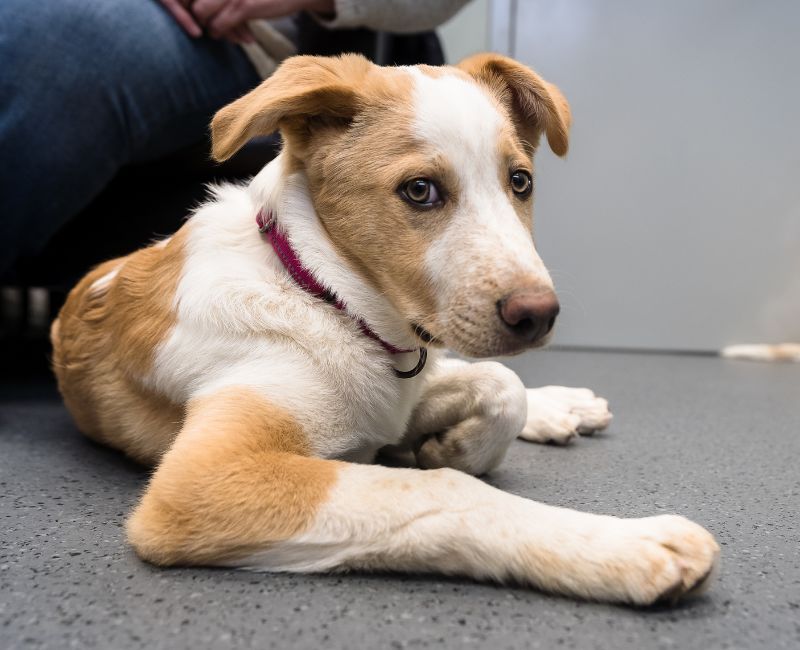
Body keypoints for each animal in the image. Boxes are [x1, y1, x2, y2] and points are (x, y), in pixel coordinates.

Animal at [50, 52, 720, 604]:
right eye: (420, 190)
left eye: (520, 181)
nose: (539, 315)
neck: (327, 299)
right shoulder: (204, 480)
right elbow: (445, 490)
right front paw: (623, 546)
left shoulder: (403, 389)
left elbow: (499, 386)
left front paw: (454, 445)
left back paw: (562, 405)